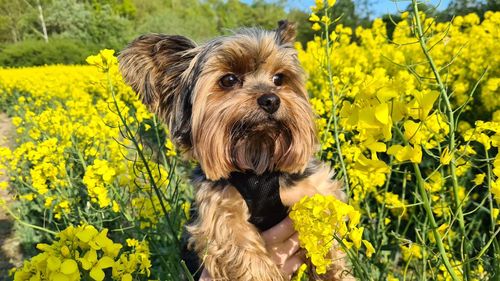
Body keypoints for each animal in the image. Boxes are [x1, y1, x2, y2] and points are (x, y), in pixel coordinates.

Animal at [118, 20, 350, 280]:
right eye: (228, 80)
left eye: (279, 78)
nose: (271, 100)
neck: (259, 163)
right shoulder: (218, 207)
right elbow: (237, 240)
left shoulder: (313, 188)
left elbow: (324, 227)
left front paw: (332, 269)